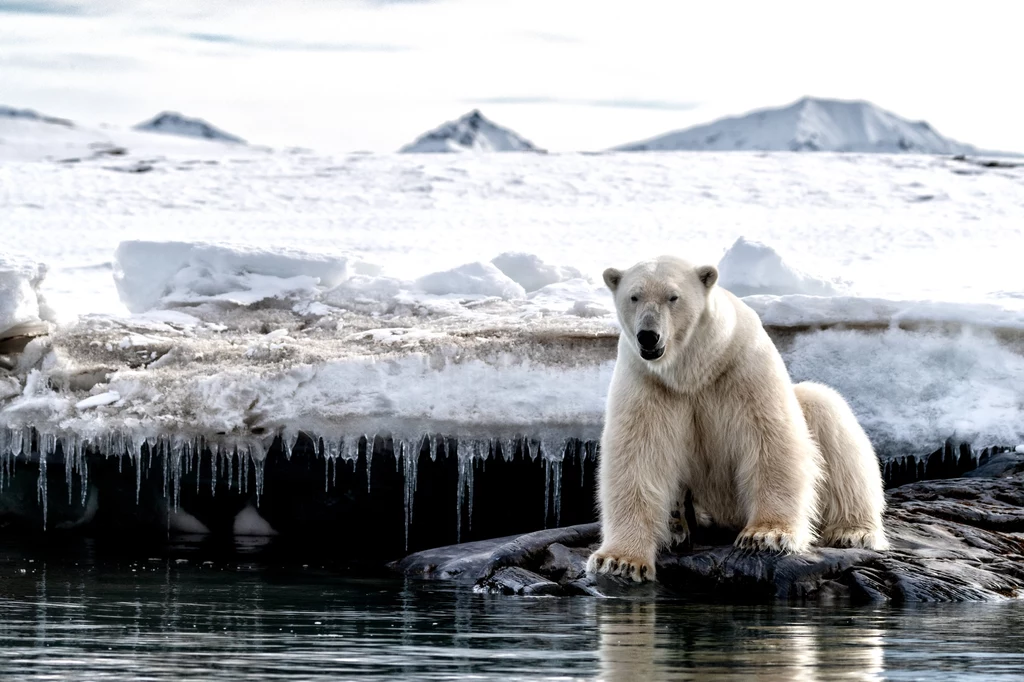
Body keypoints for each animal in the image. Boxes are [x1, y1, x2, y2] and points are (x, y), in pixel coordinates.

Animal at [589, 254, 884, 577]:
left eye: (673, 296)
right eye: (634, 296)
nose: (648, 336)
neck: (693, 371)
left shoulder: (742, 367)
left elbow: (771, 440)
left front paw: (766, 535)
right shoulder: (649, 382)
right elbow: (638, 456)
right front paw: (619, 561)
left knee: (830, 417)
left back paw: (853, 531)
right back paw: (675, 525)